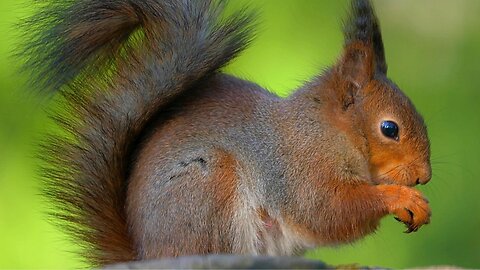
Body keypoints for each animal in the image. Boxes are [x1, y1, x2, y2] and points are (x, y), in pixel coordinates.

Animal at [18, 0, 432, 266]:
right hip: (209, 186)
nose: (424, 177)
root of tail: (147, 254)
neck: (329, 131)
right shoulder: (297, 167)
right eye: (389, 128)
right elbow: (325, 211)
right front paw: (402, 198)